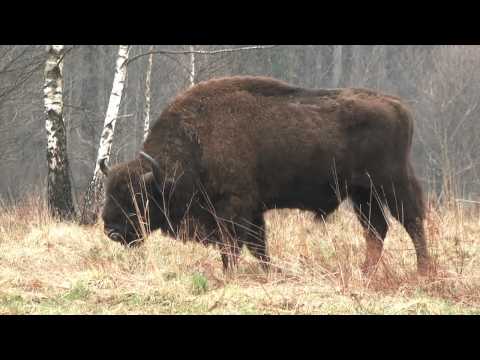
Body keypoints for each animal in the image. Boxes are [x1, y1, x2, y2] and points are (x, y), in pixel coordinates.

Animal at [100, 75, 432, 272]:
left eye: (137, 196)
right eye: (109, 192)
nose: (112, 230)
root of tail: (398, 106)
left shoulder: (233, 207)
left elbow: (233, 246)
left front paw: (231, 274)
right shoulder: (253, 210)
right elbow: (258, 246)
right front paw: (269, 272)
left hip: (391, 183)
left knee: (412, 222)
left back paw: (424, 271)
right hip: (362, 194)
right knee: (376, 229)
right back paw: (365, 272)